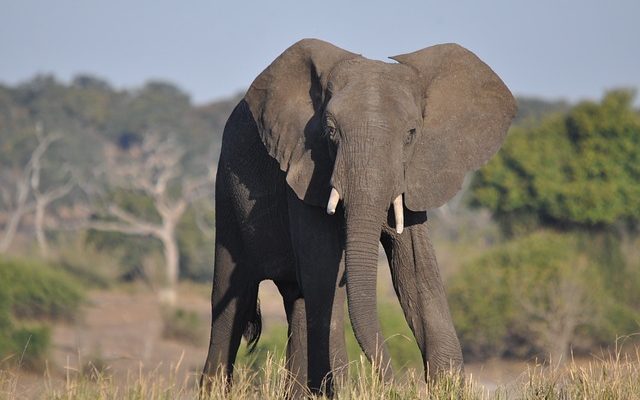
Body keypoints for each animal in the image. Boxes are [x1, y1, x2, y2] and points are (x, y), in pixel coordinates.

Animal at [202, 38, 516, 396]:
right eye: (330, 131)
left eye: (411, 134)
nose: (395, 385)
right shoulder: (305, 170)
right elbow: (326, 274)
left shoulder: (412, 175)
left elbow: (416, 272)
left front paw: (449, 386)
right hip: (226, 193)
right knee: (232, 303)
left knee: (299, 302)